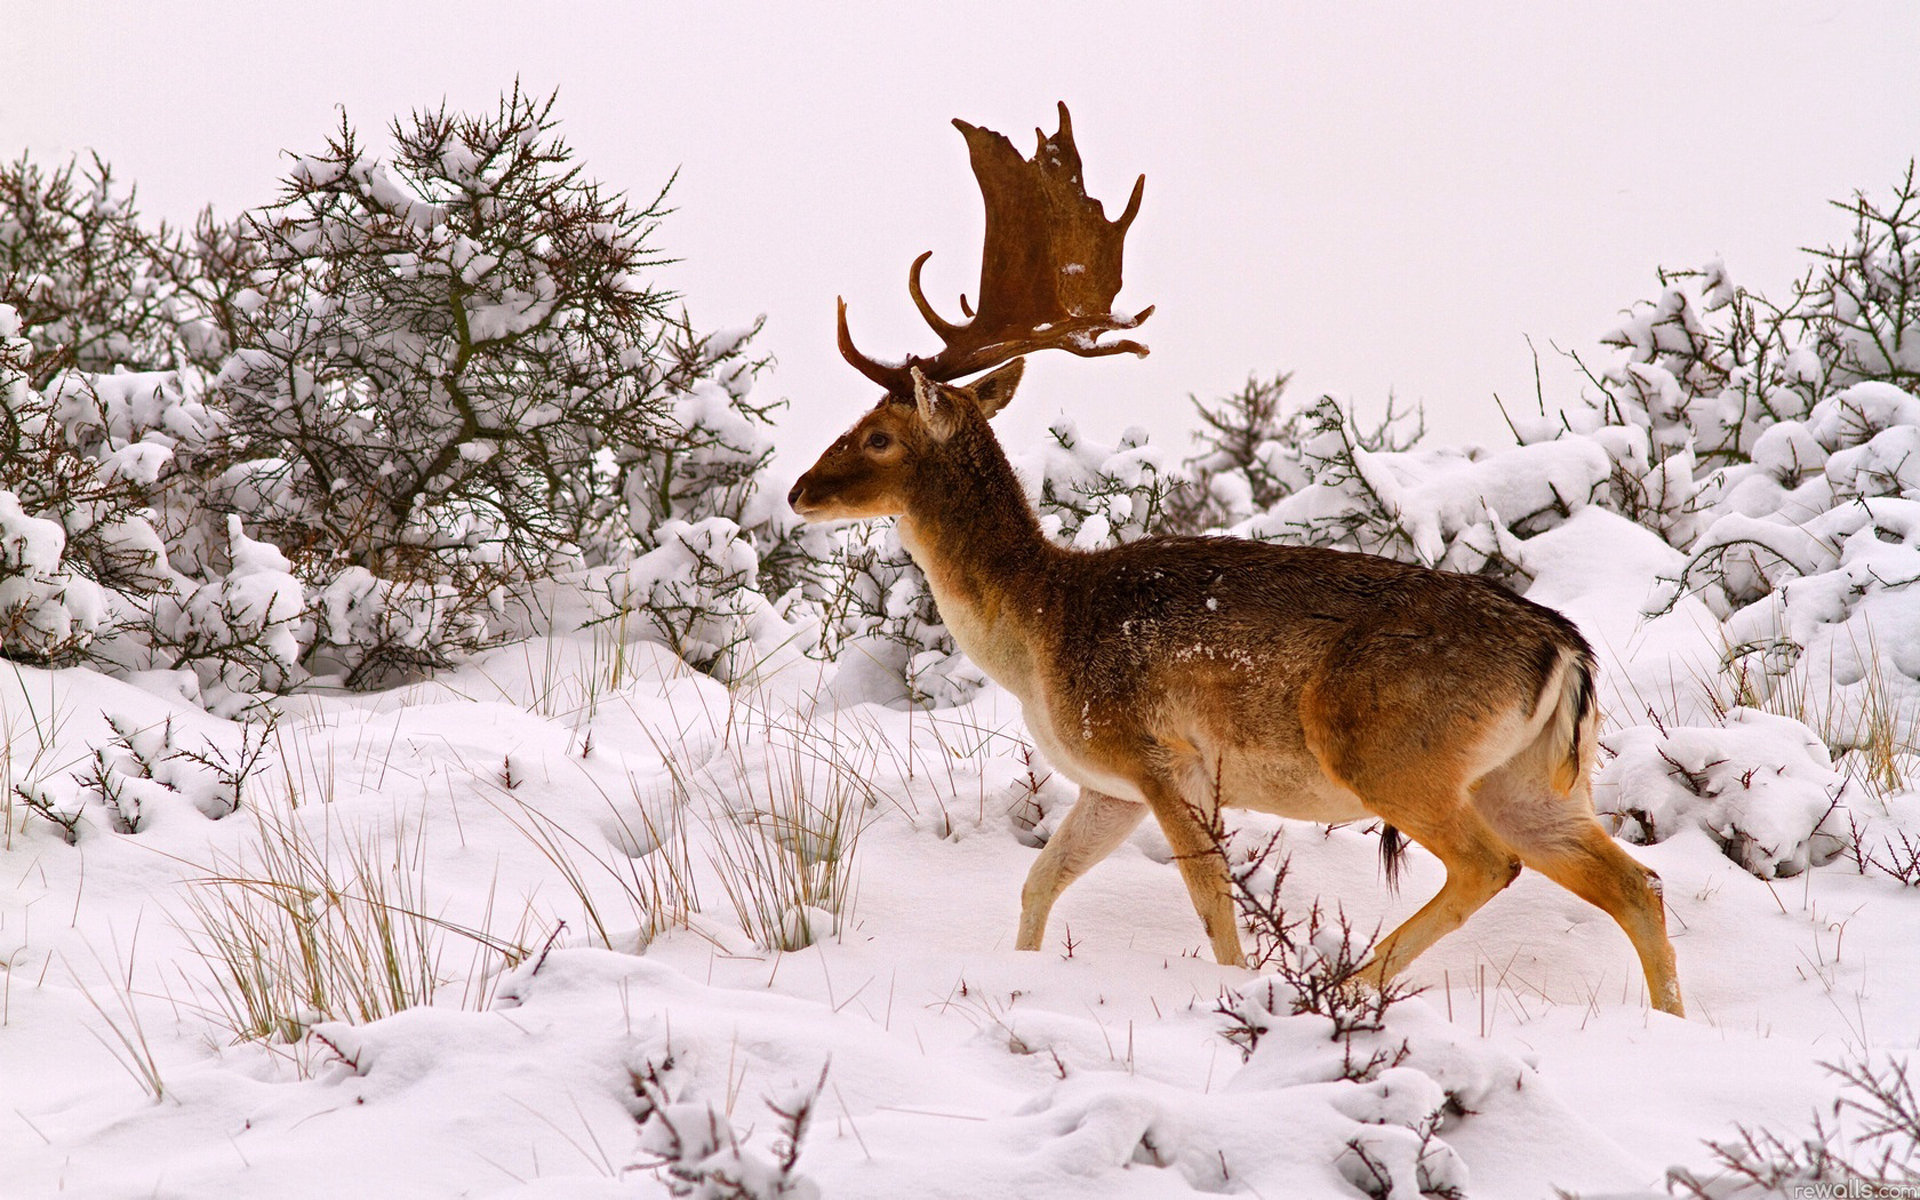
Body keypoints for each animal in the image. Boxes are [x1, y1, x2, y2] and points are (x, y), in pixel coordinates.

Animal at [787, 107, 1689, 1013]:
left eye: (878, 434)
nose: (798, 490)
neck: (1038, 632)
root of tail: (1565, 651)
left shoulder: (1159, 756)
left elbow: (1210, 901)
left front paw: (1233, 985)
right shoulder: (1106, 785)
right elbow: (1040, 882)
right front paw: (1023, 974)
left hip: (1395, 753)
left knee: (1489, 864)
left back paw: (1348, 985)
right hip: (1533, 782)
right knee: (1636, 883)